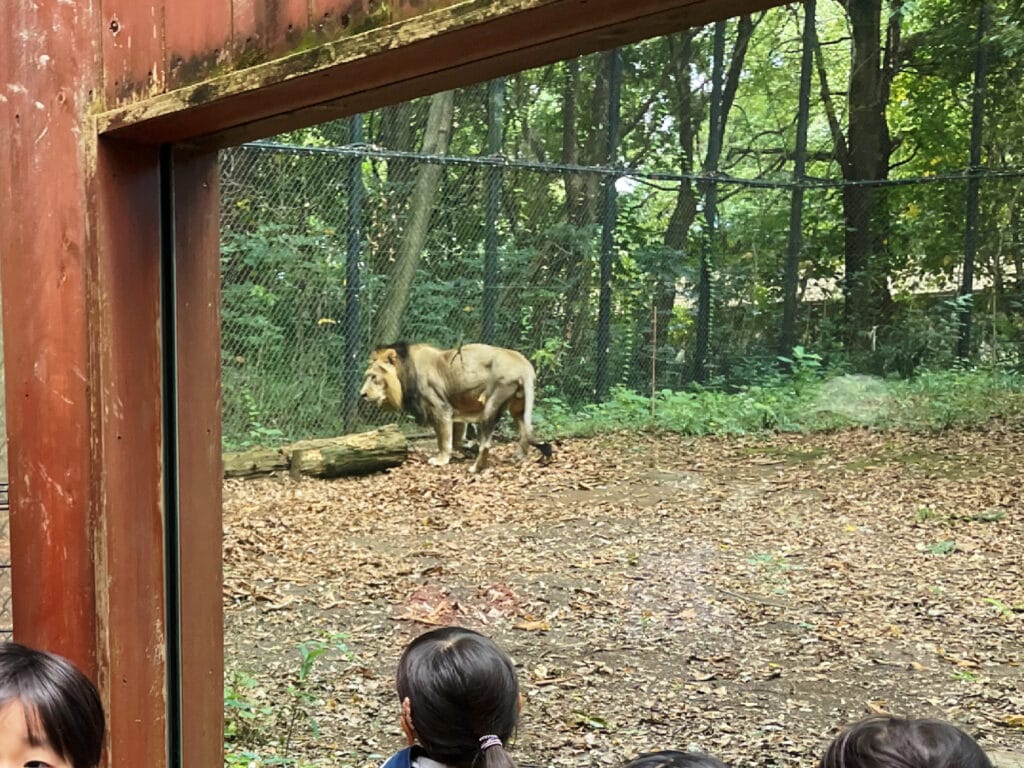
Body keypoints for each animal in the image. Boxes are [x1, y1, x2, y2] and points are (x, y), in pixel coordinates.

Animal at [360, 344, 552, 475]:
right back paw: (518, 457)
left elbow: (443, 439)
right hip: (517, 406)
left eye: (374, 377)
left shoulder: (440, 408)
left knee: (487, 444)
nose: (362, 394)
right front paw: (460, 452)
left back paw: (475, 468)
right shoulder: (456, 410)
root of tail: (525, 365)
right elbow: (457, 436)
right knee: (525, 431)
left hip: (492, 402)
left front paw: (441, 460)